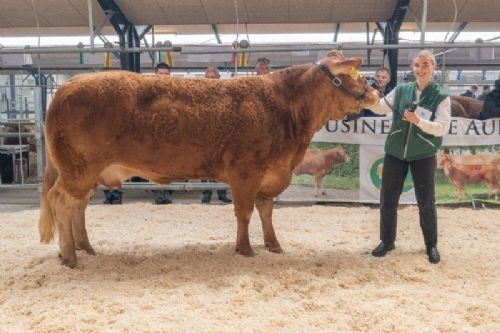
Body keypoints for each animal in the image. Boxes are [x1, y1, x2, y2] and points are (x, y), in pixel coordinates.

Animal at [39, 50, 376, 268]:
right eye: (354, 75)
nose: (373, 92)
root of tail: (68, 85)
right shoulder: (246, 173)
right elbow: (244, 212)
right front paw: (245, 249)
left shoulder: (270, 174)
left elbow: (266, 211)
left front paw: (273, 245)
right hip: (78, 169)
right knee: (61, 202)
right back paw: (69, 257)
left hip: (84, 173)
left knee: (78, 207)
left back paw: (84, 247)